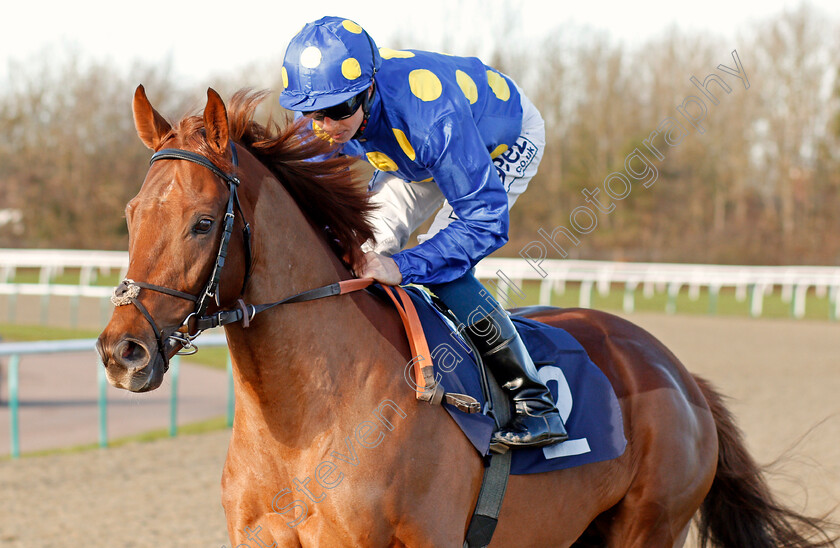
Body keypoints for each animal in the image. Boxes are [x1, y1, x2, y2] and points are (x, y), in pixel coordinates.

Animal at [97, 88, 832, 544]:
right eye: (131, 215)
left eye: (202, 222)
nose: (122, 351)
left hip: (650, 526)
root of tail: (680, 373)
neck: (307, 421)